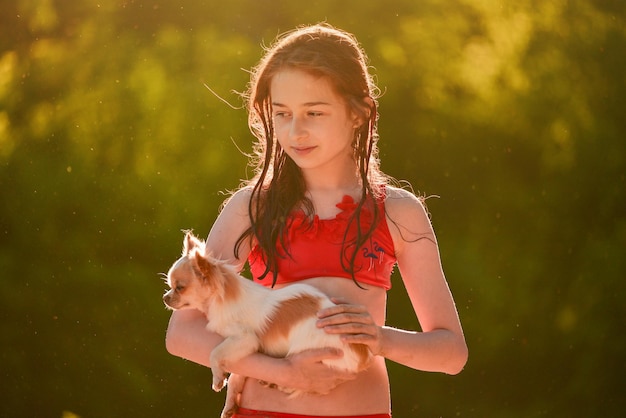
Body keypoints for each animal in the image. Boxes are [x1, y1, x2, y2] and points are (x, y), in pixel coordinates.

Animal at [163, 232, 372, 418]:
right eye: (170, 286)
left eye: (180, 288)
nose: (165, 297)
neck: (221, 298)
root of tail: (363, 355)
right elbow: (234, 371)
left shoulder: (245, 339)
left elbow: (215, 353)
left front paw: (218, 378)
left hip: (310, 351)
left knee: (314, 389)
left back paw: (280, 385)